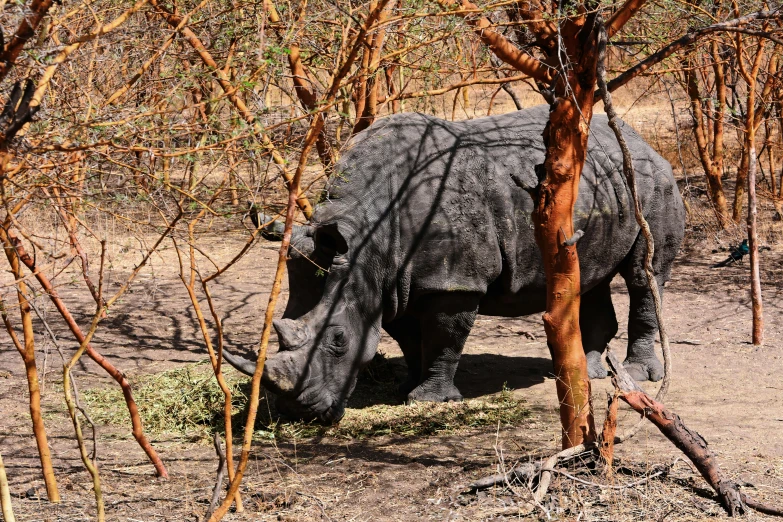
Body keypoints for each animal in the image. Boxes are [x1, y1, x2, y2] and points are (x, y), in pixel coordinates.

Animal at [227, 105, 688, 422]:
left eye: (338, 340)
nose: (298, 414)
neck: (367, 237)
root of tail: (641, 141)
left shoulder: (453, 281)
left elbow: (444, 337)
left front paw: (430, 399)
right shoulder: (395, 280)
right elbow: (408, 337)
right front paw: (406, 387)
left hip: (653, 183)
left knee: (643, 276)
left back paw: (638, 375)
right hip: (603, 188)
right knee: (589, 275)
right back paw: (589, 373)